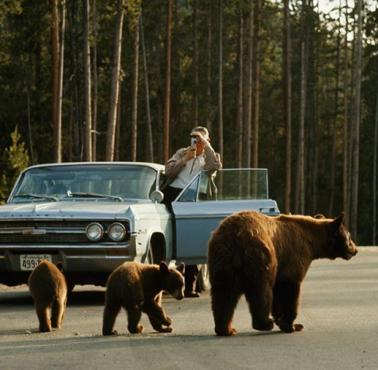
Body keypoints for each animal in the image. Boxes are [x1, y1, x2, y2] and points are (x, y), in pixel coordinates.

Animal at [207, 211, 358, 336]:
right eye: (349, 237)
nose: (355, 250)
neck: (312, 241)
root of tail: (236, 237)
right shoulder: (296, 255)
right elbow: (290, 288)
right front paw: (291, 325)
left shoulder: (281, 267)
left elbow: (278, 291)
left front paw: (285, 322)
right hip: (261, 256)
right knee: (261, 290)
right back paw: (264, 324)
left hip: (221, 259)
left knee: (223, 294)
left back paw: (226, 329)